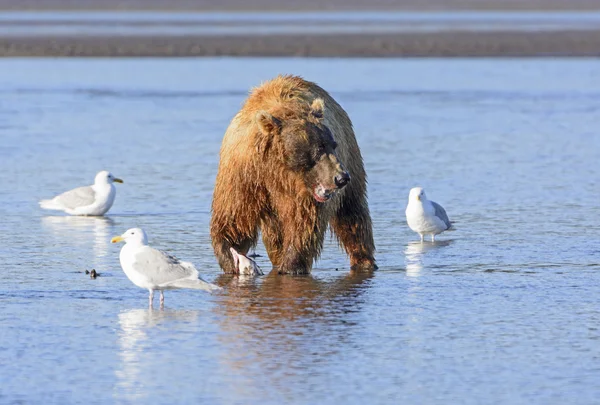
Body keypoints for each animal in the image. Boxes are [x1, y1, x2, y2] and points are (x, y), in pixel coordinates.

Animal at [210, 74, 376, 274]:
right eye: (318, 149)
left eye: (332, 145)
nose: (341, 178)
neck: (278, 171)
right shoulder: (243, 174)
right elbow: (234, 219)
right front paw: (234, 258)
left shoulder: (303, 196)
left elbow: (303, 225)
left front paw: (291, 266)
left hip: (352, 158)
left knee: (352, 213)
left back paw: (364, 260)